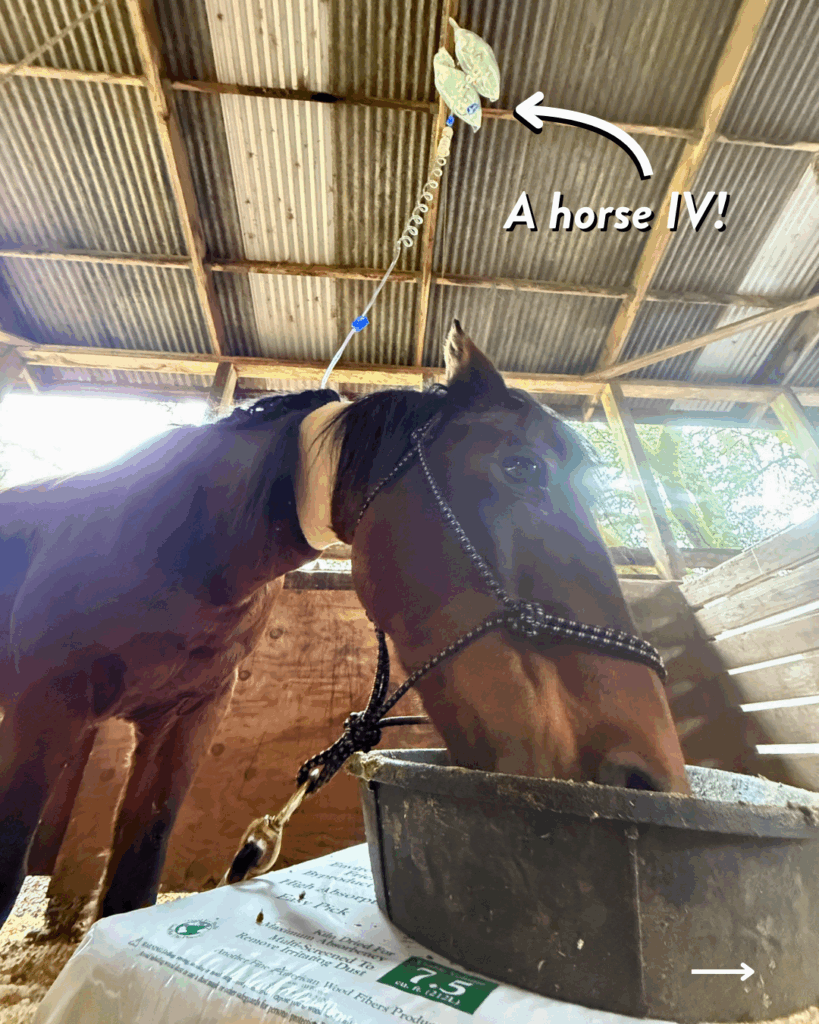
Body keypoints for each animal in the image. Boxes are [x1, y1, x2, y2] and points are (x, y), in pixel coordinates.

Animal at [0, 322, 689, 933]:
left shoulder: (188, 722)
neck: (191, 547)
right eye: (522, 468)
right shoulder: (46, 711)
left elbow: (133, 883)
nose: (653, 780)